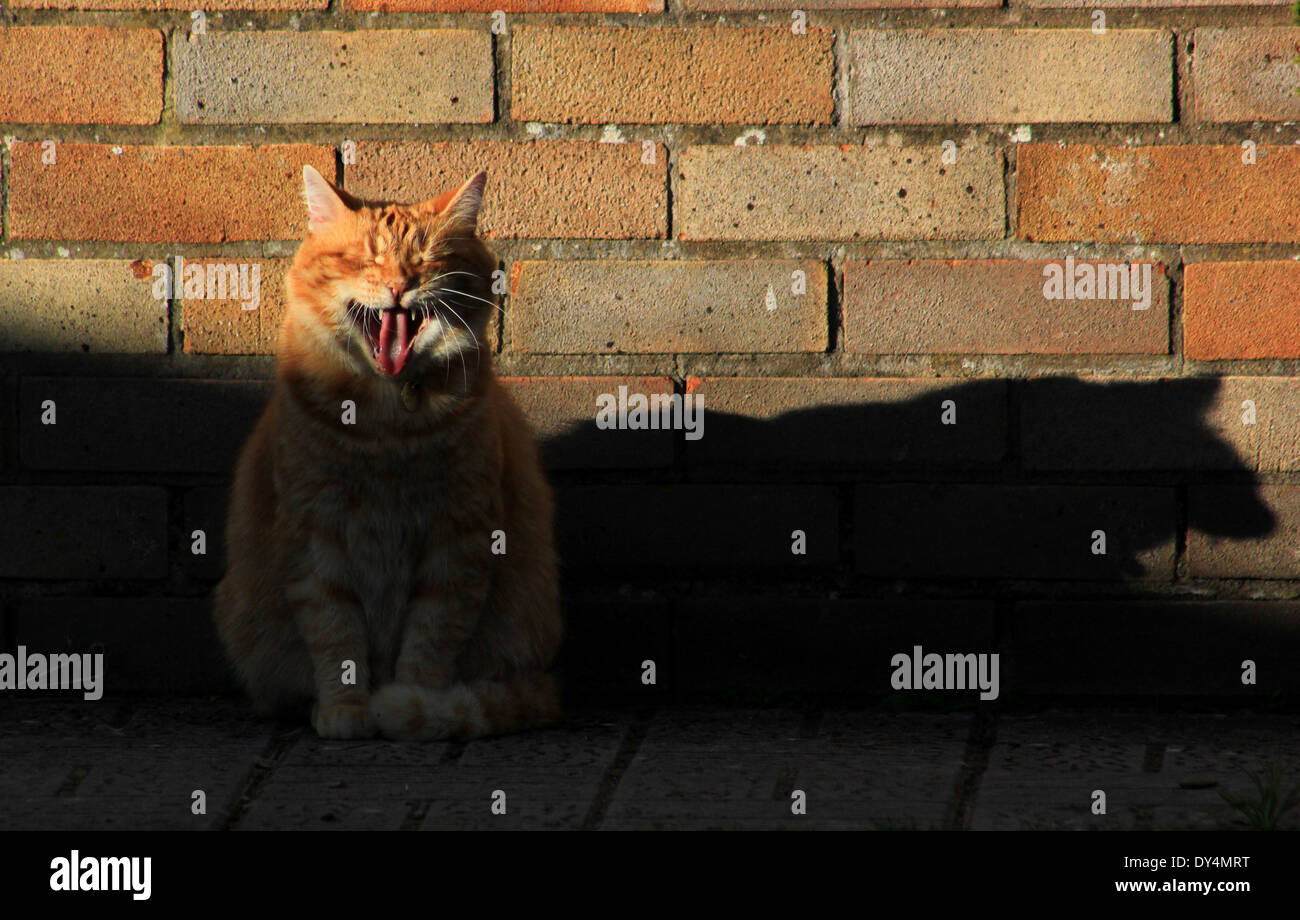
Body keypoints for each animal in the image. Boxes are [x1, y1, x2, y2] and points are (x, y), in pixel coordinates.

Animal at [211, 165, 559, 738]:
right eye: (366, 259)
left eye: (425, 260)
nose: (400, 284)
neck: (387, 426)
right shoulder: (315, 535)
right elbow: (336, 633)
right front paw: (346, 710)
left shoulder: (458, 537)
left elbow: (431, 638)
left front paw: (410, 705)